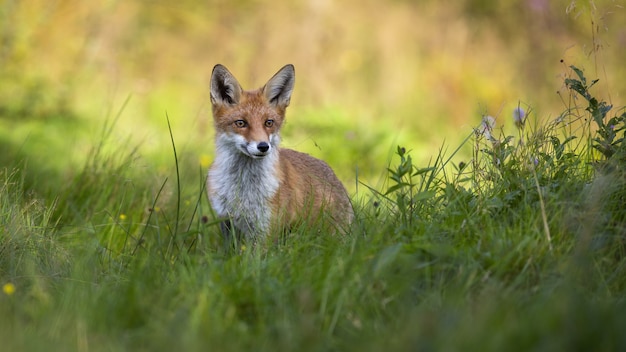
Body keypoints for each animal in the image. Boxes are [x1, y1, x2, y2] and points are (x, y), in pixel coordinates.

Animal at [205, 64, 352, 242]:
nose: (263, 146)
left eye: (269, 123)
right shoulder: (227, 222)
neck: (243, 189)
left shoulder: (266, 230)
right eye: (240, 123)